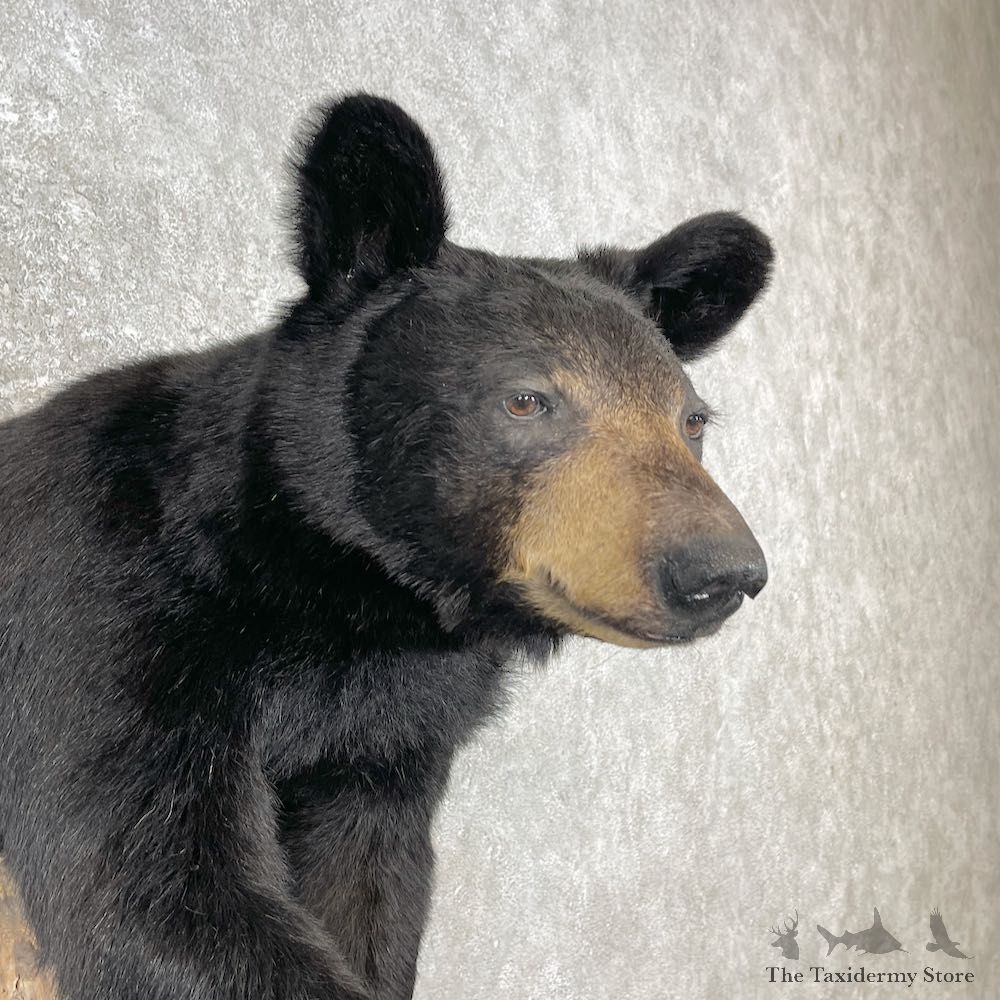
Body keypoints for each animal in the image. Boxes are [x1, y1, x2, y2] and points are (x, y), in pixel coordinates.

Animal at [0, 94, 772, 1000]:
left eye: (691, 420)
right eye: (527, 400)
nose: (724, 571)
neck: (351, 600)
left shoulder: (389, 738)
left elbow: (370, 891)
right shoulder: (111, 611)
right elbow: (147, 879)